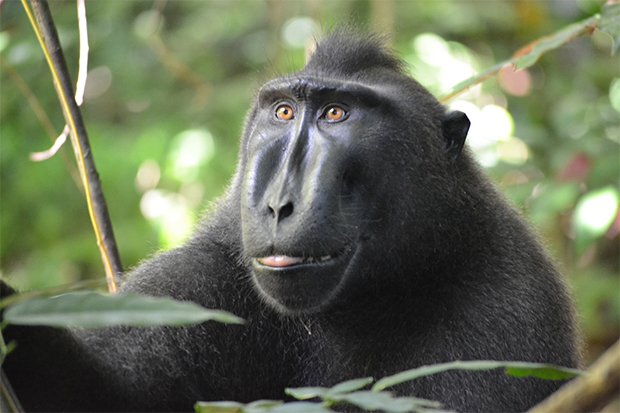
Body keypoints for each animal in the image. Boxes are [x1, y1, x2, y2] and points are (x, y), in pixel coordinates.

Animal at [1, 30, 580, 410]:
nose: (279, 204)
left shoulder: (504, 317)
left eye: (336, 114)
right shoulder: (209, 272)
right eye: (282, 112)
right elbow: (104, 390)